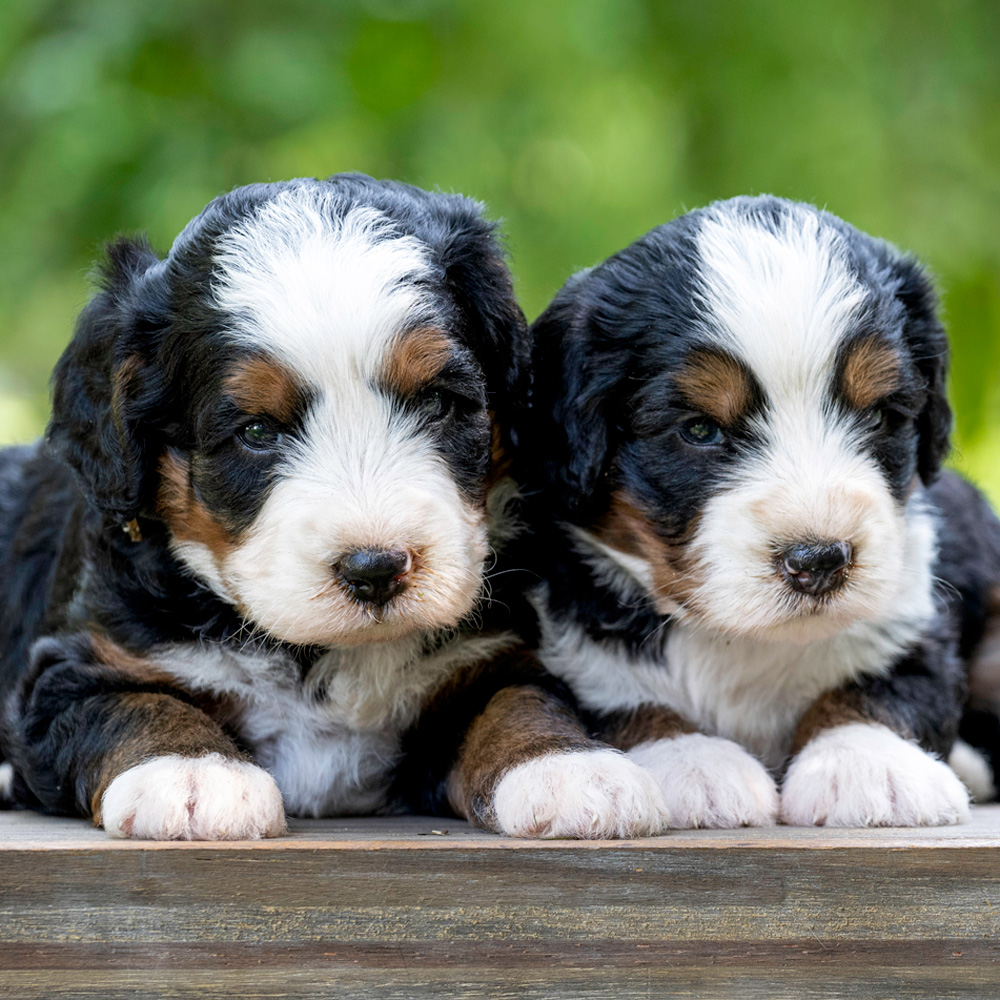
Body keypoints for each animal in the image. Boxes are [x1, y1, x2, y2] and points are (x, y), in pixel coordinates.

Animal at [1, 176, 672, 840]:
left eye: (438, 402)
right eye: (256, 432)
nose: (375, 568)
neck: (330, 654)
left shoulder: (490, 654)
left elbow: (516, 699)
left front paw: (567, 767)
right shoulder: (77, 664)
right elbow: (134, 702)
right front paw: (193, 774)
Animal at [524, 195, 1000, 828]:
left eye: (878, 416)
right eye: (699, 430)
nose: (819, 560)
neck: (744, 640)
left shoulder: (911, 607)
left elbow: (887, 685)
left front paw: (866, 763)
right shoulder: (572, 641)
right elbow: (623, 703)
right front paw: (693, 762)